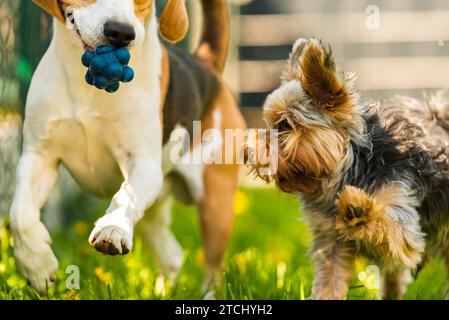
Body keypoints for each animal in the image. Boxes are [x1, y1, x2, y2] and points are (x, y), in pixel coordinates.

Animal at [10, 0, 247, 294]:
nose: (120, 33)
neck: (86, 81)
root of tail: (207, 65)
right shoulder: (39, 156)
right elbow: (19, 214)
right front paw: (36, 265)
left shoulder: (143, 165)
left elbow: (124, 197)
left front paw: (113, 228)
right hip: (155, 211)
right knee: (172, 256)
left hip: (216, 204)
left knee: (213, 271)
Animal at [248, 38, 448, 298]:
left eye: (285, 125)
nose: (248, 151)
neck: (348, 167)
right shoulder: (330, 244)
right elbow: (329, 284)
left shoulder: (404, 221)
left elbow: (389, 224)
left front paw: (358, 209)